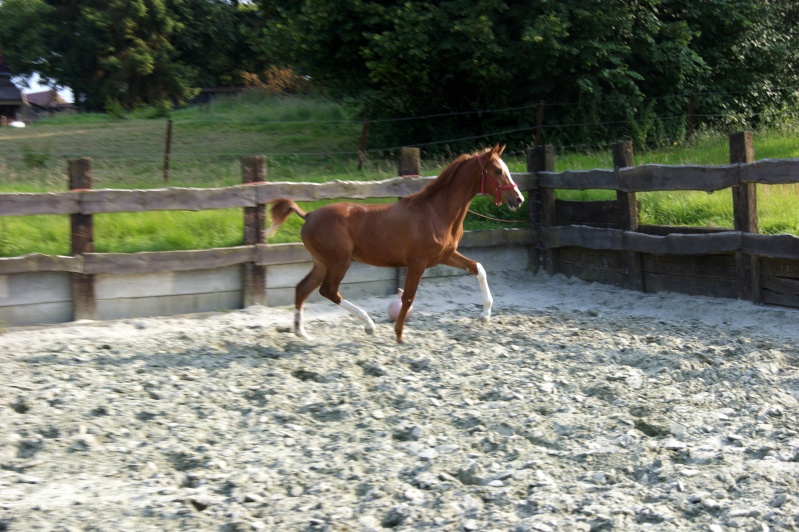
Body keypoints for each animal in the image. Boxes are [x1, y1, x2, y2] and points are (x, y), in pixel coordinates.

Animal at [270, 143, 524, 342]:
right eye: (498, 171)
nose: (518, 199)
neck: (436, 212)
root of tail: (309, 215)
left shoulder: (445, 255)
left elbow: (478, 268)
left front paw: (485, 316)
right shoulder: (418, 263)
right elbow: (408, 297)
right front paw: (399, 335)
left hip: (323, 263)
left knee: (302, 289)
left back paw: (303, 334)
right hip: (339, 261)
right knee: (328, 291)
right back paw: (368, 325)